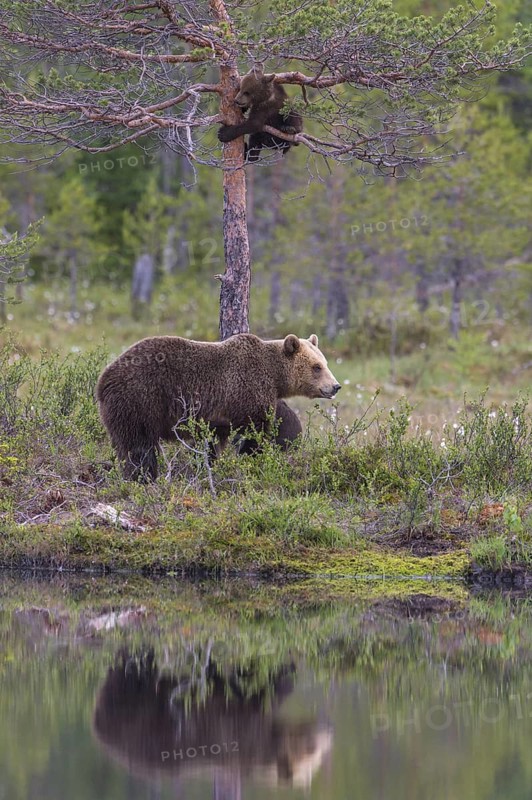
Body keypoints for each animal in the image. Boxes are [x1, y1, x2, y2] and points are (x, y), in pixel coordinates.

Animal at [96, 333, 340, 481]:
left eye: (325, 363)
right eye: (317, 367)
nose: (335, 386)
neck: (274, 377)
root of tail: (103, 380)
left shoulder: (217, 416)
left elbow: (211, 442)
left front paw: (207, 465)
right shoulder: (245, 392)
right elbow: (255, 433)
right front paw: (252, 459)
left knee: (124, 443)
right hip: (141, 399)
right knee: (139, 444)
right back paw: (143, 476)